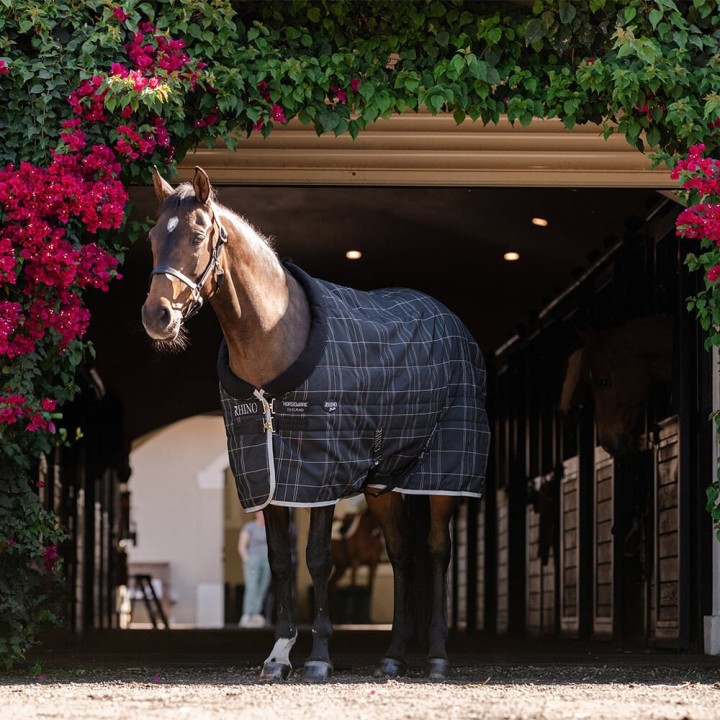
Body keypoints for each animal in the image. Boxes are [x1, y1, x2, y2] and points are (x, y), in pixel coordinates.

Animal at [141, 166, 490, 681]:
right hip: (383, 485)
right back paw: (392, 656)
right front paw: (279, 654)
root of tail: (451, 321)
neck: (276, 339)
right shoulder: (266, 476)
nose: (157, 315)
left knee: (435, 551)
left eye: (198, 234)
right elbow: (282, 561)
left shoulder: (321, 472)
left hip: (443, 475)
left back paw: (438, 657)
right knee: (401, 554)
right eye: (151, 238)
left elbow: (318, 559)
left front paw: (320, 656)